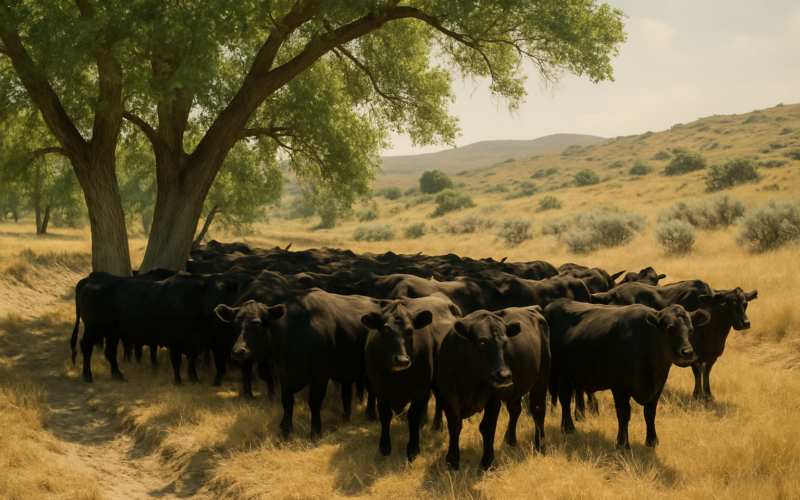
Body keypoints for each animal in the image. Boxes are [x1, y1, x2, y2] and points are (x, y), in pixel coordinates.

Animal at [214, 289, 381, 437]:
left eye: (256, 324)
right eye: (234, 324)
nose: (238, 351)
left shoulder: (320, 375)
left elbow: (314, 402)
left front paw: (315, 432)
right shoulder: (283, 373)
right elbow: (287, 401)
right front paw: (285, 430)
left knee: (371, 390)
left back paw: (370, 414)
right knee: (346, 394)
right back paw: (346, 418)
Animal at [361, 295, 461, 461]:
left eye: (410, 330)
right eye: (386, 329)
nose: (401, 360)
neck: (397, 378)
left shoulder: (421, 391)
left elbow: (413, 416)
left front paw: (413, 448)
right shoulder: (380, 391)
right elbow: (385, 415)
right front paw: (384, 446)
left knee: (439, 401)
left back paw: (436, 424)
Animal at [435, 306, 550, 470]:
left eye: (506, 342)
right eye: (483, 342)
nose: (505, 375)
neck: (469, 379)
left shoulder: (493, 399)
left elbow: (487, 427)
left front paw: (487, 462)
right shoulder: (447, 398)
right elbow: (454, 427)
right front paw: (452, 460)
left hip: (542, 378)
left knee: (538, 409)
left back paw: (540, 446)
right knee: (515, 409)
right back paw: (510, 439)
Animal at [544, 299, 710, 449]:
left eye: (691, 330)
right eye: (670, 328)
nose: (687, 352)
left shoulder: (658, 387)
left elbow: (650, 413)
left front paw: (652, 441)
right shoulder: (619, 387)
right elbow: (623, 414)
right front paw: (622, 444)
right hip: (559, 374)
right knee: (565, 399)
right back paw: (568, 428)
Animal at [591, 280, 757, 400]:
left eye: (745, 303)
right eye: (731, 303)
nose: (745, 323)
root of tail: (611, 293)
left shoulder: (711, 355)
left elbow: (706, 372)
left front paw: (708, 394)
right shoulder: (692, 352)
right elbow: (698, 372)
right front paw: (697, 394)